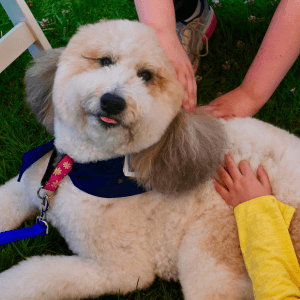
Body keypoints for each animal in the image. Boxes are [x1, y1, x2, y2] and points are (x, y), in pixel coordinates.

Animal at [0, 19, 300, 298]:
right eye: (105, 60)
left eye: (146, 75)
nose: (113, 101)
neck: (80, 170)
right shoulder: (24, 190)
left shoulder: (121, 270)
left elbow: (36, 276)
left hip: (210, 250)